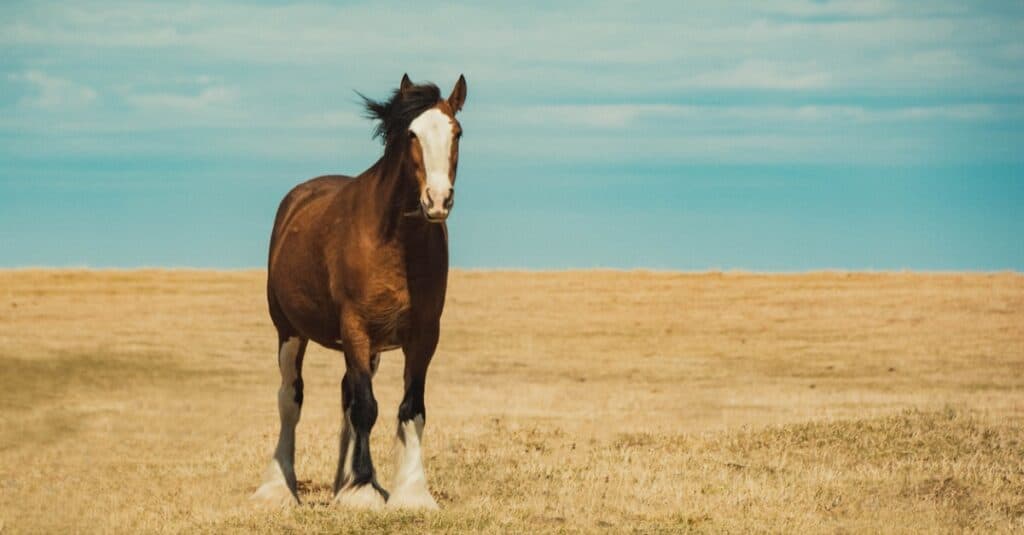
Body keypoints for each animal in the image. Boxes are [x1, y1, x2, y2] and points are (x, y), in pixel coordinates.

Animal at [251, 71, 468, 508]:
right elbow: (366, 407)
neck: (396, 242)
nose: (438, 200)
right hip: (290, 331)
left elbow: (411, 407)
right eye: (412, 134)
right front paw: (364, 491)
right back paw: (278, 487)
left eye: (457, 132)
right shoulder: (355, 327)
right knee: (290, 399)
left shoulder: (423, 333)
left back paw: (341, 481)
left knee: (346, 394)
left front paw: (410, 491)